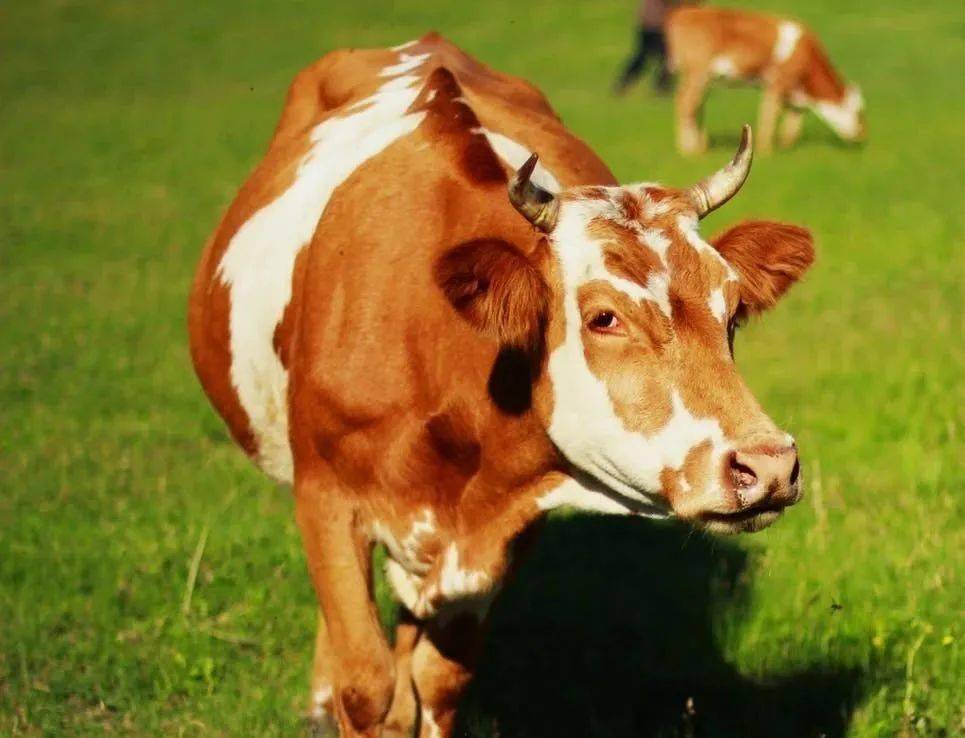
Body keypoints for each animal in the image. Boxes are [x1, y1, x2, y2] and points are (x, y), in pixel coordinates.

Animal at [188, 31, 812, 736]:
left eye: (732, 312)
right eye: (604, 317)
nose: (768, 465)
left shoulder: (496, 537)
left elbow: (436, 683)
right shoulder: (325, 499)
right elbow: (366, 685)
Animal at [664, 7, 868, 155]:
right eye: (859, 112)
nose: (862, 136)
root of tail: (685, 13)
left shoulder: (793, 93)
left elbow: (793, 123)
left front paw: (786, 146)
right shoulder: (777, 83)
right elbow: (770, 115)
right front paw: (766, 150)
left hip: (700, 78)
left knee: (695, 105)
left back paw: (701, 146)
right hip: (697, 73)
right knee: (685, 103)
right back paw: (689, 150)